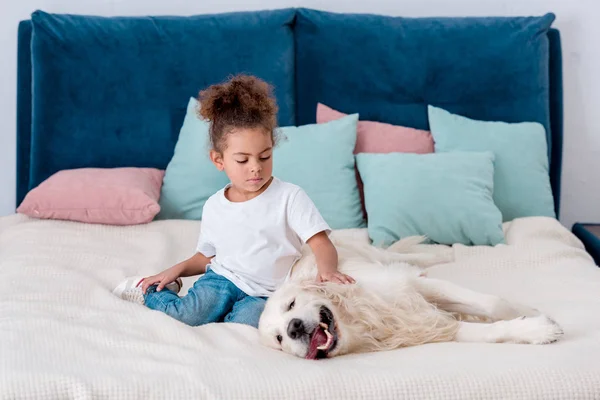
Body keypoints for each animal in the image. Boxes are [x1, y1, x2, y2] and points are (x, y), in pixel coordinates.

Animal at [258, 236, 564, 360]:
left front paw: (529, 311)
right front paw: (536, 329)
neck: (361, 318)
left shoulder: (408, 286)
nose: (294, 327)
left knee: (401, 256)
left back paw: (440, 254)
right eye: (280, 339)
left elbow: (492, 302)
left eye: (292, 304)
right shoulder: (433, 326)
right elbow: (485, 331)